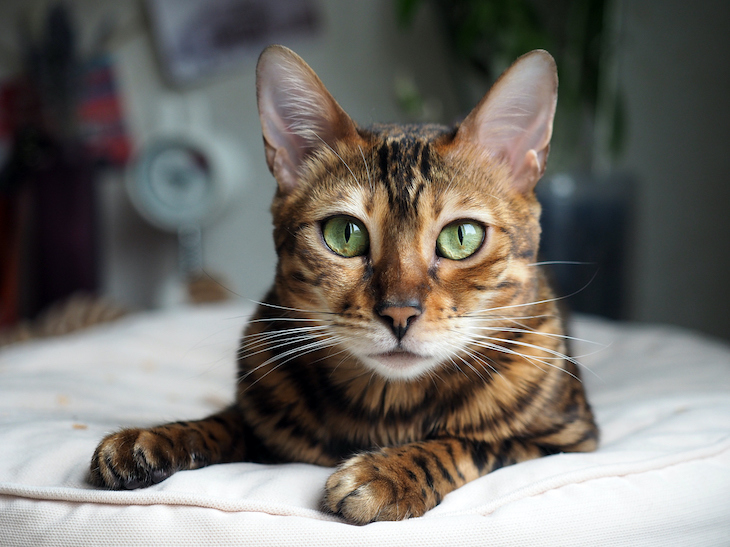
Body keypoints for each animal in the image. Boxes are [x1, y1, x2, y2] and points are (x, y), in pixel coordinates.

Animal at [89, 45, 596, 524]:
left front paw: (388, 473)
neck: (389, 408)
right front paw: (153, 438)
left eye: (461, 237)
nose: (399, 312)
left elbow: (469, 443)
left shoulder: (565, 440)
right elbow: (221, 423)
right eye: (344, 234)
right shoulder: (263, 423)